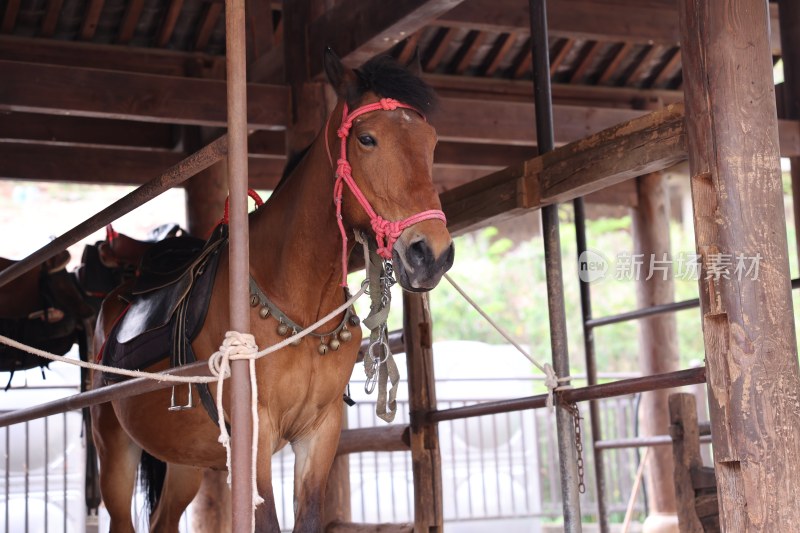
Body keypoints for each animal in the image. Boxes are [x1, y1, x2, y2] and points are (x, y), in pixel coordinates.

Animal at [90, 50, 454, 532]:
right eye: (367, 139)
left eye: (431, 142)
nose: (432, 253)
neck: (300, 306)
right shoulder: (254, 434)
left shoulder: (320, 432)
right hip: (114, 449)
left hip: (185, 462)